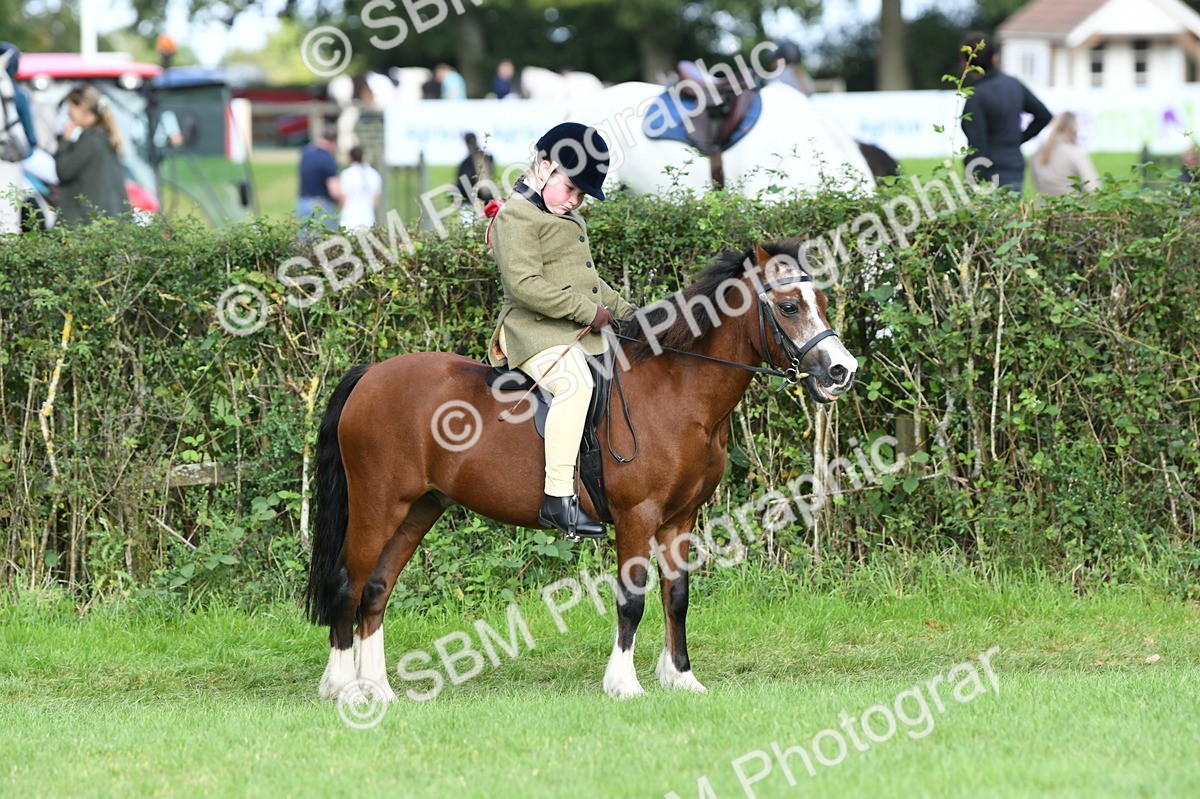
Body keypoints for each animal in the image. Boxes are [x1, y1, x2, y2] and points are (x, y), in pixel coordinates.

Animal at [305, 241, 858, 702]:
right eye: (789, 307)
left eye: (821, 301)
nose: (842, 371)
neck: (677, 390)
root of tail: (369, 375)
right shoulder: (638, 516)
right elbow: (632, 599)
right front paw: (625, 684)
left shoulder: (680, 520)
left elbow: (676, 596)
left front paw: (682, 678)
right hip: (378, 505)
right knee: (348, 584)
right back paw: (343, 689)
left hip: (419, 508)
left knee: (376, 590)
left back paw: (379, 690)